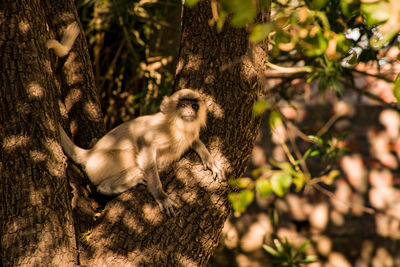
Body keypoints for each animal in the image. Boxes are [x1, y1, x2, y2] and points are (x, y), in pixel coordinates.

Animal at [59, 90, 223, 218]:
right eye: (182, 105)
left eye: (194, 106)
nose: (189, 112)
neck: (177, 126)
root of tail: (90, 153)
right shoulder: (162, 130)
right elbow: (144, 142)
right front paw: (161, 196)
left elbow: (193, 140)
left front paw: (210, 160)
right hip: (101, 164)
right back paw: (108, 187)